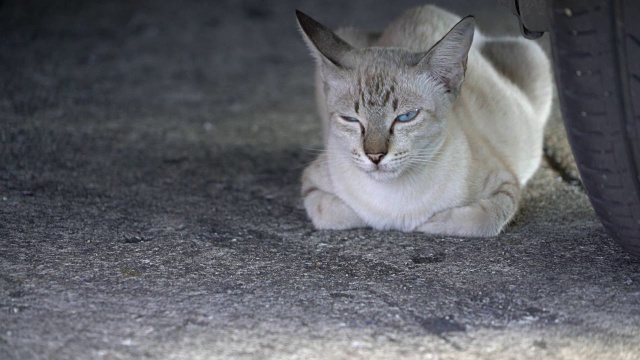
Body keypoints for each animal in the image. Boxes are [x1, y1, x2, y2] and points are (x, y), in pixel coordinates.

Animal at [296, 5, 552, 238]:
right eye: (350, 119)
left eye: (406, 117)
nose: (375, 156)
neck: (393, 199)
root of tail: (424, 8)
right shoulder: (311, 182)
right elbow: (332, 213)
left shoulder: (506, 187)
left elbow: (479, 220)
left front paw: (422, 224)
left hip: (535, 58)